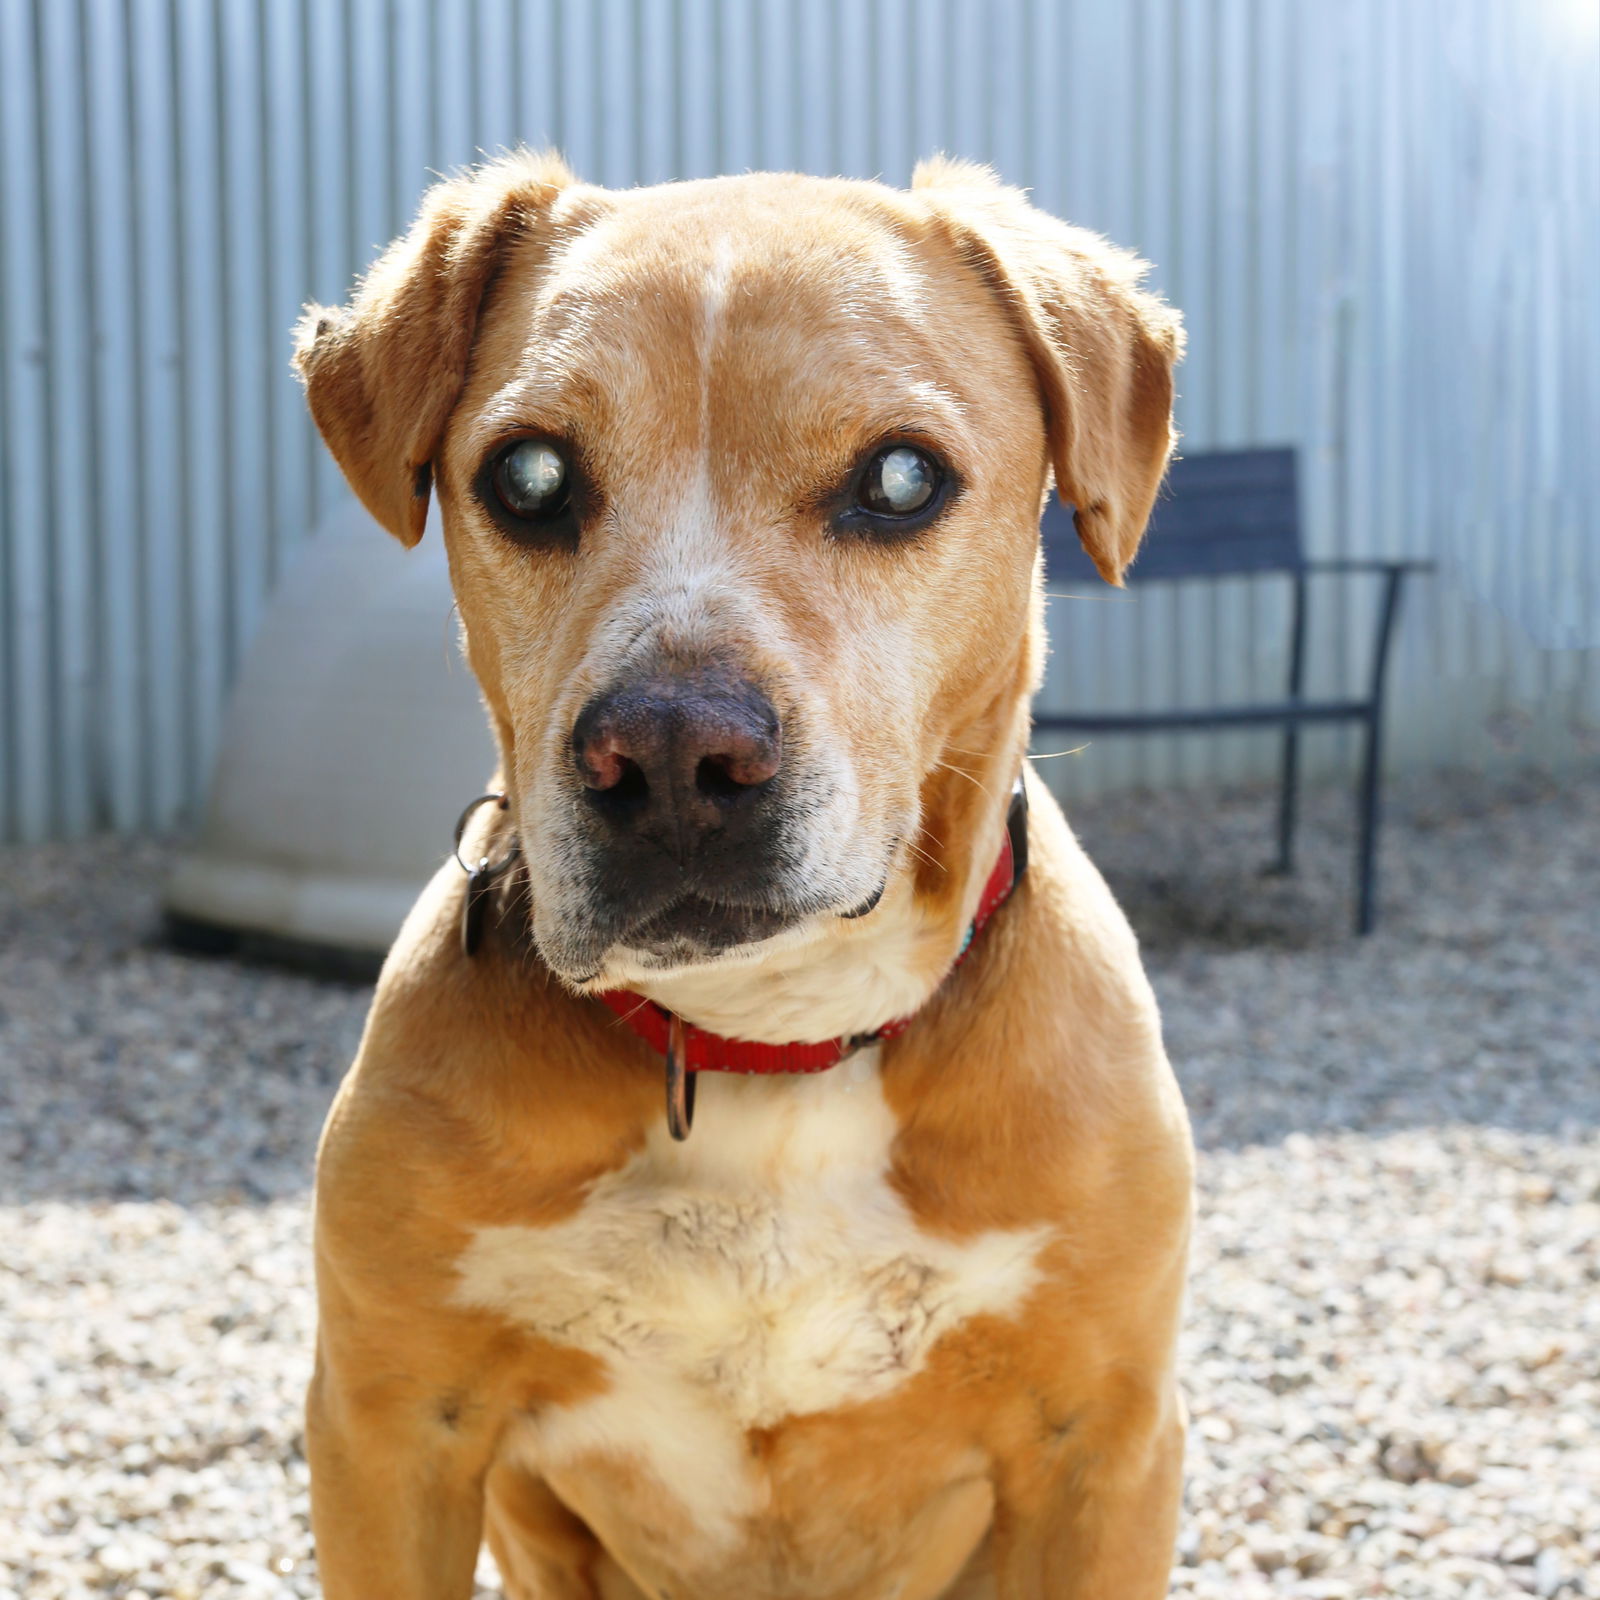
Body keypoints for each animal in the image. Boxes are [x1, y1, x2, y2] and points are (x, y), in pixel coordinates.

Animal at [291, 152, 1190, 1600]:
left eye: (901, 478)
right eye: (528, 475)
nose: (669, 757)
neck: (770, 1035)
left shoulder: (1102, 1444)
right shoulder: (389, 1430)